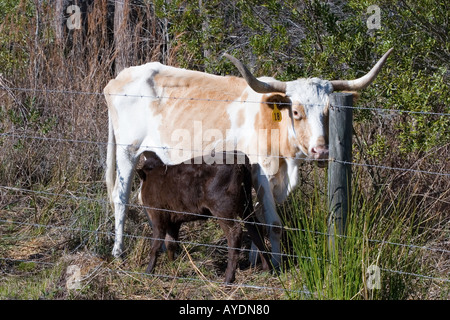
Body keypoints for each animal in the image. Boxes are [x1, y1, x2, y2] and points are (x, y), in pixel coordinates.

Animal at [103, 48, 392, 266]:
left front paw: (256, 258)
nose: (321, 151)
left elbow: (259, 216)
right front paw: (275, 263)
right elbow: (273, 223)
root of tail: (119, 78)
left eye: (328, 111)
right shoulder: (261, 171)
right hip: (127, 150)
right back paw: (118, 251)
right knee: (121, 196)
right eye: (296, 112)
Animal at [139, 152, 268, 282]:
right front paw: (172, 267)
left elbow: (155, 245)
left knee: (234, 233)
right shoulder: (173, 220)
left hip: (222, 208)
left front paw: (148, 271)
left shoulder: (157, 215)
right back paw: (267, 268)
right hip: (246, 204)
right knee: (255, 228)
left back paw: (228, 279)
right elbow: (170, 243)